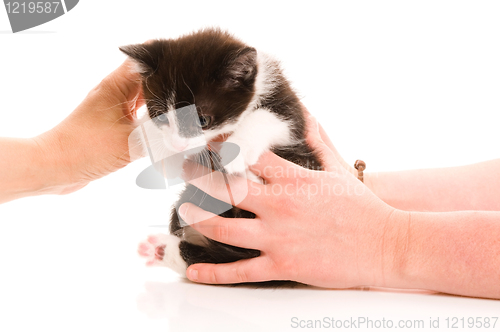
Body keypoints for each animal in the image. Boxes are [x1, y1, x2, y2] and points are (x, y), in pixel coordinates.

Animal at [123, 29, 322, 282]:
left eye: (202, 120)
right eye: (161, 116)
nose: (178, 145)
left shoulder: (292, 111)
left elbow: (270, 117)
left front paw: (235, 154)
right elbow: (146, 125)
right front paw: (163, 155)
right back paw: (160, 249)